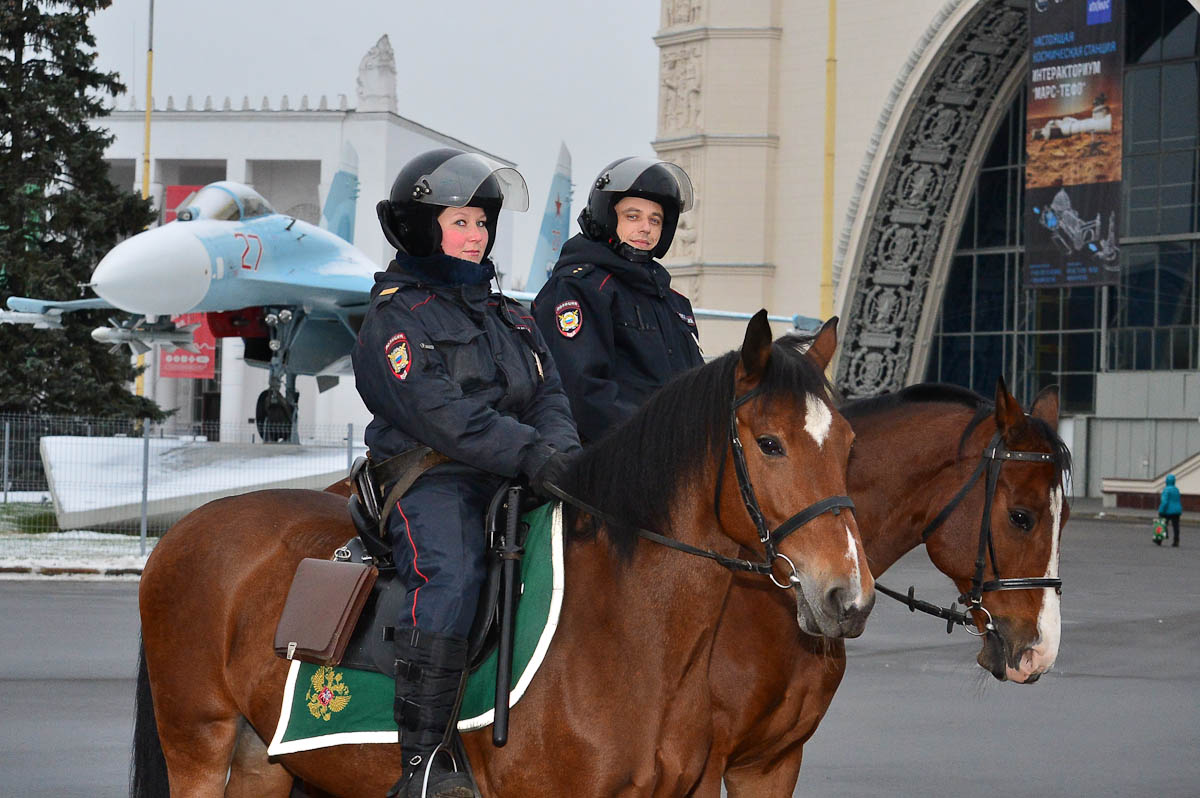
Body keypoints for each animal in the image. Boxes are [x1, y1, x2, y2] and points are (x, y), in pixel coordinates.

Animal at [136, 312, 878, 796]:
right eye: (770, 444)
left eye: (847, 443)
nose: (847, 595)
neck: (629, 632)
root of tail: (184, 531)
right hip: (197, 744)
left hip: (261, 762)